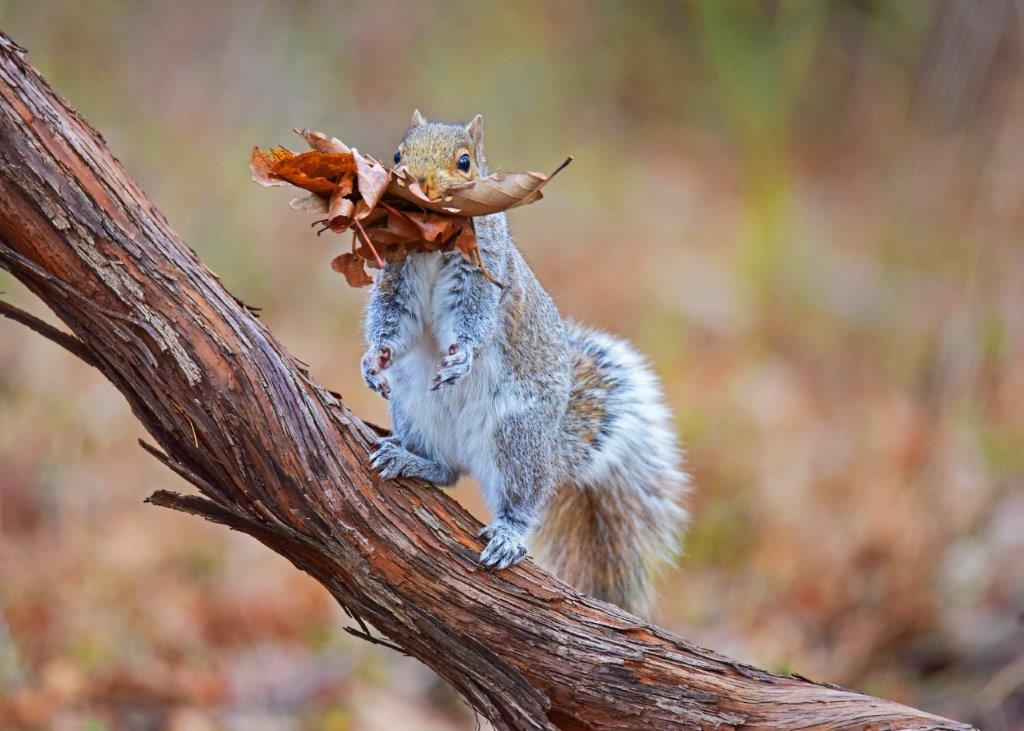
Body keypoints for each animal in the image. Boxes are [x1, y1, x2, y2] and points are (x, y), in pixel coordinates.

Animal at [362, 109, 689, 615]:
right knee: (447, 470)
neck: (432, 241)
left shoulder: (487, 274)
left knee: (520, 498)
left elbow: (475, 321)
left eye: (465, 162)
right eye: (397, 155)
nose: (415, 184)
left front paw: (463, 359)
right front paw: (373, 361)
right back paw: (412, 460)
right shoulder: (397, 272)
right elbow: (392, 319)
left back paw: (508, 534)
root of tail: (552, 451)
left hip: (516, 437)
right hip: (414, 411)